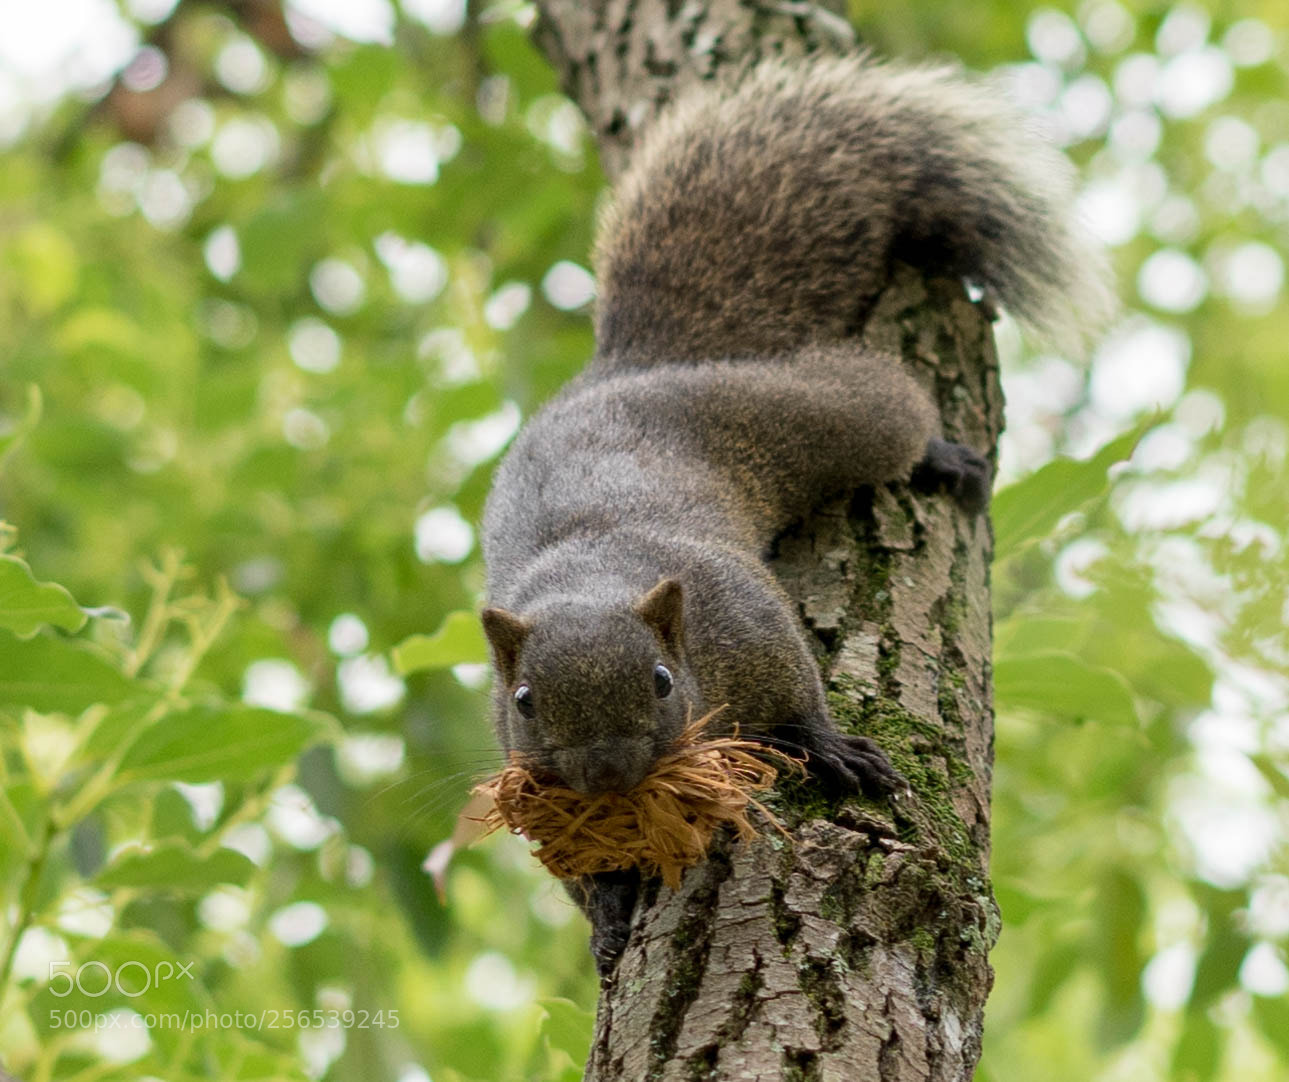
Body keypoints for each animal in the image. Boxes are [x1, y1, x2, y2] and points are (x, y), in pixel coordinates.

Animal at [478, 54, 1113, 974]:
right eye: (523, 699)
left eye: (661, 679)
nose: (609, 775)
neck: (594, 577)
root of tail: (630, 367)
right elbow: (585, 874)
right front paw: (607, 911)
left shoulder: (738, 613)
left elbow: (794, 684)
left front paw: (826, 746)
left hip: (800, 415)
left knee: (881, 402)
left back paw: (938, 456)